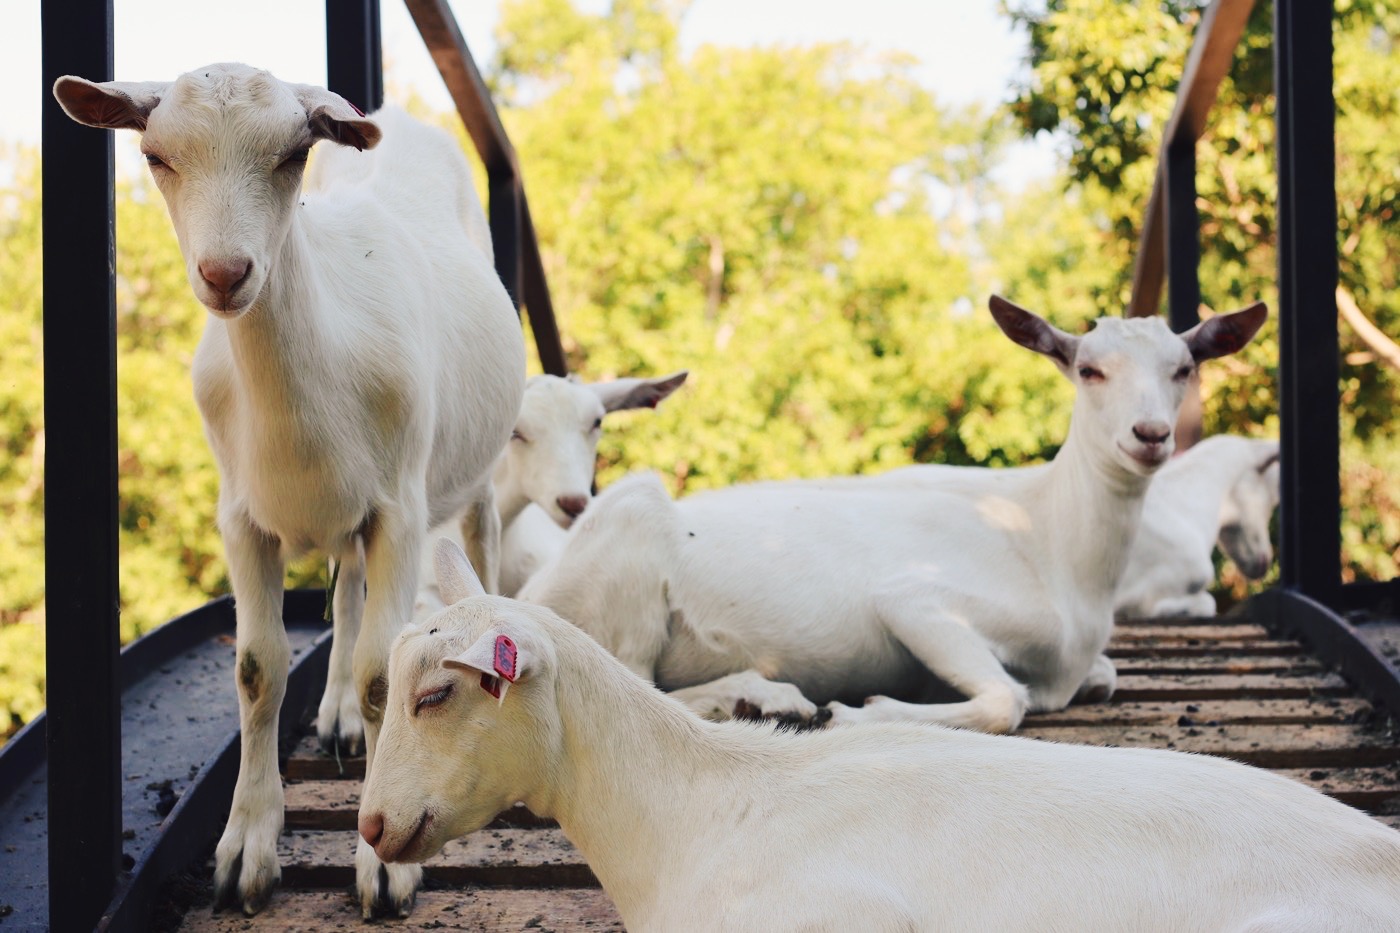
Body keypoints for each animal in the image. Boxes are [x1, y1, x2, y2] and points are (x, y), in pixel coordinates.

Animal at [54, 64, 525, 917]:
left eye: (290, 155)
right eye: (156, 156)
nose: (224, 273)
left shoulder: (400, 509)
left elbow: (383, 673)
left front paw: (386, 868)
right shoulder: (241, 517)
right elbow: (257, 667)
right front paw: (246, 851)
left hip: (469, 460)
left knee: (481, 536)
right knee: (345, 588)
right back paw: (333, 714)